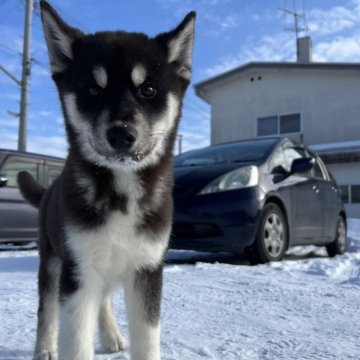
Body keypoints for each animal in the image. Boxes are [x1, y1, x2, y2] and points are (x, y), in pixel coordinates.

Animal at [18, 1, 195, 358]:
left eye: (148, 90)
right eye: (93, 90)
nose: (121, 134)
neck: (121, 191)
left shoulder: (146, 267)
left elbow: (147, 340)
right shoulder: (78, 270)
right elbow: (75, 340)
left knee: (104, 298)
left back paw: (111, 333)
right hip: (53, 259)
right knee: (47, 306)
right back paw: (44, 347)